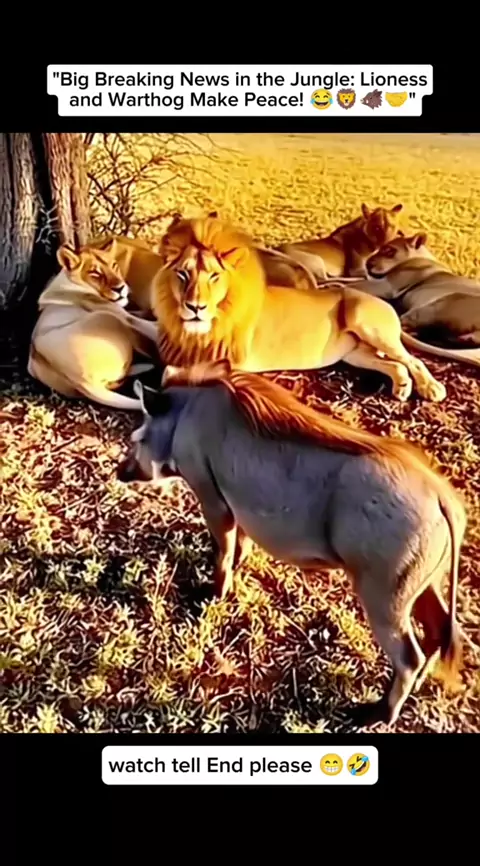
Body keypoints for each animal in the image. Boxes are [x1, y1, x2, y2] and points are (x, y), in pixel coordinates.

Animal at [150, 214, 447, 403]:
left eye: (214, 276)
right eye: (183, 274)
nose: (195, 307)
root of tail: (383, 303)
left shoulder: (233, 362)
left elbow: (172, 372)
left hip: (366, 322)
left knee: (413, 360)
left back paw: (432, 389)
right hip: (355, 353)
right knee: (396, 365)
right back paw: (402, 387)